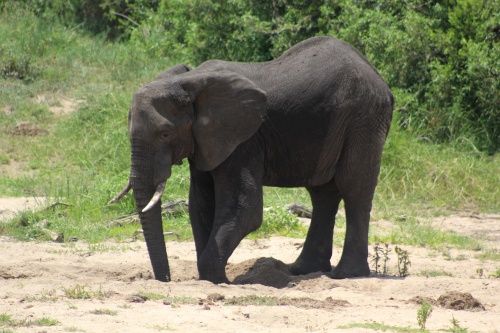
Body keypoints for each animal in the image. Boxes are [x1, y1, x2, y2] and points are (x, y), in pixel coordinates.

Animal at [110, 37, 394, 284]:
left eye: (165, 134)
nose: (165, 280)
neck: (188, 82)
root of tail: (377, 76)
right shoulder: (205, 141)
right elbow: (200, 205)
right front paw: (211, 279)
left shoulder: (244, 141)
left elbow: (246, 207)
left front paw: (219, 280)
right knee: (322, 192)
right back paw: (301, 270)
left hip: (364, 118)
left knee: (353, 187)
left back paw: (346, 275)